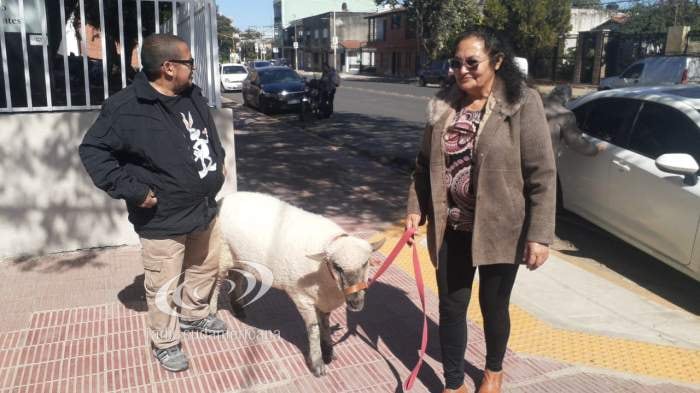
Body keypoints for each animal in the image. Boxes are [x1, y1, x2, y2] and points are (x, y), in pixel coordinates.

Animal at [211, 191, 386, 376]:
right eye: (337, 266)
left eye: (365, 263)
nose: (355, 302)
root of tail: (228, 197)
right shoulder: (302, 298)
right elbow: (313, 329)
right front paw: (317, 363)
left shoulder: (323, 300)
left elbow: (325, 325)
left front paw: (328, 350)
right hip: (221, 251)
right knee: (217, 284)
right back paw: (213, 314)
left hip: (238, 256)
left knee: (236, 277)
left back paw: (238, 309)